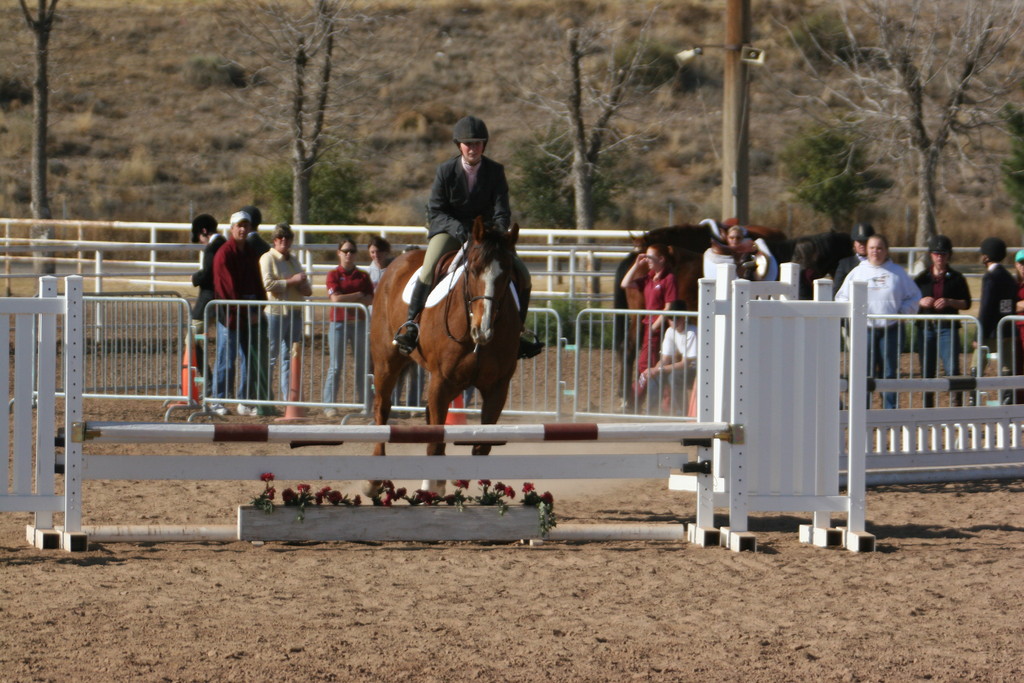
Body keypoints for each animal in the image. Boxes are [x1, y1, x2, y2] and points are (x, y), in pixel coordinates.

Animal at [370, 219, 524, 491]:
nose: (483, 330)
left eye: (506, 274)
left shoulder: (497, 388)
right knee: (382, 408)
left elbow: (481, 447)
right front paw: (429, 490)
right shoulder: (441, 381)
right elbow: (435, 443)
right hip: (387, 362)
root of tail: (396, 263)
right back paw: (376, 481)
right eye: (473, 270)